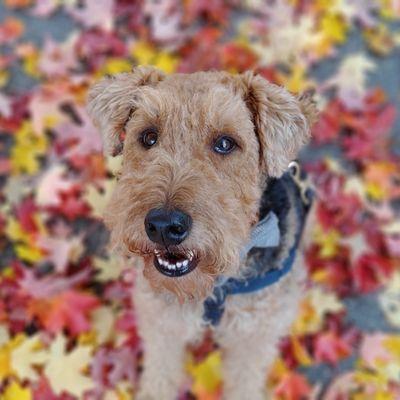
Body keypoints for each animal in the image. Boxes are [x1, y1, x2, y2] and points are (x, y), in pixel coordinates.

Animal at [88, 66, 318, 400]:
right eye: (148, 137)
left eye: (225, 143)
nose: (163, 226)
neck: (212, 288)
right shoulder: (163, 324)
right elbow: (161, 374)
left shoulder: (252, 338)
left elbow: (244, 382)